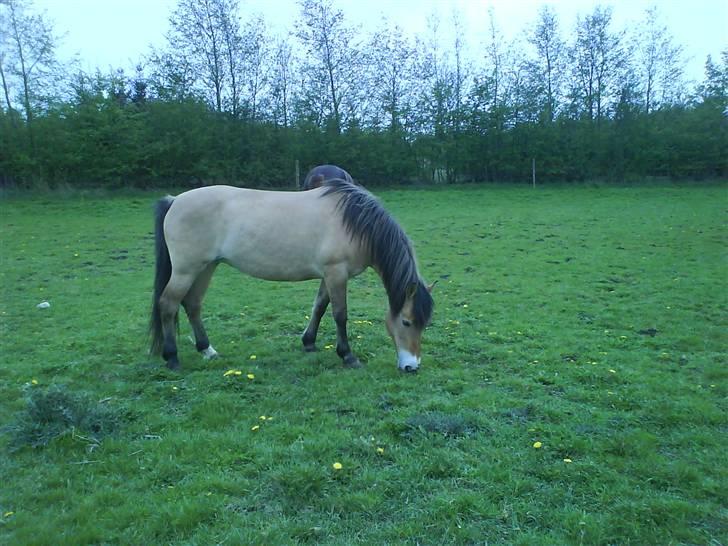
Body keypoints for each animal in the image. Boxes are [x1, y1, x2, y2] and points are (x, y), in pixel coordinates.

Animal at [148, 178, 432, 370]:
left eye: (424, 323)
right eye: (406, 322)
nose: (411, 366)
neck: (355, 223)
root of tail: (175, 200)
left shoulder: (328, 275)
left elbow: (319, 307)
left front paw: (309, 342)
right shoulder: (336, 273)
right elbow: (340, 314)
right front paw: (348, 356)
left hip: (206, 267)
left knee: (192, 304)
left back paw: (207, 350)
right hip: (186, 270)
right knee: (168, 304)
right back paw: (172, 357)